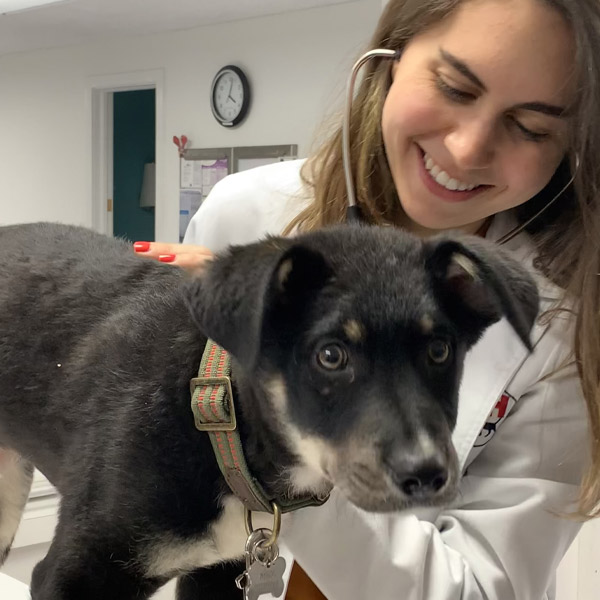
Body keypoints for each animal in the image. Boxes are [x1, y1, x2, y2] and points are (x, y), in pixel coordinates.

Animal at [0, 223, 536, 596]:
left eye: (440, 350)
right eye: (331, 355)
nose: (426, 475)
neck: (215, 424)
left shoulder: (218, 575)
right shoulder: (71, 575)